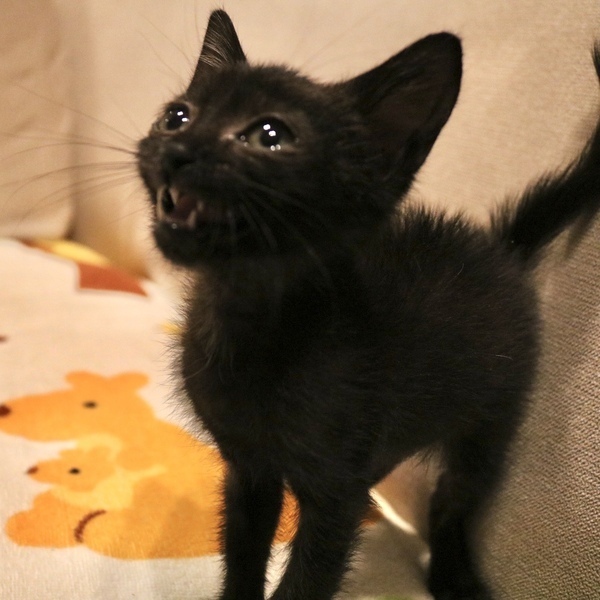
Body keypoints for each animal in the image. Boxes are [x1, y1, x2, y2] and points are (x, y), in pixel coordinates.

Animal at [137, 10, 600, 600]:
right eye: (176, 116)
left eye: (270, 135)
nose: (177, 151)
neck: (251, 329)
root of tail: (501, 247)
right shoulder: (249, 469)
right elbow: (242, 553)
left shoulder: (335, 496)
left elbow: (309, 578)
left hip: (493, 411)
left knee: (453, 496)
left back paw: (453, 576)